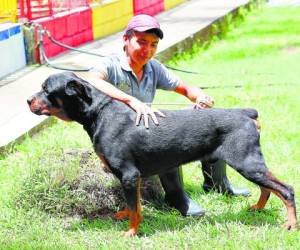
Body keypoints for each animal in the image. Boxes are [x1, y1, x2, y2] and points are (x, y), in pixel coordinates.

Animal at [27, 73, 296, 236]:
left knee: (286, 190)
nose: (28, 100)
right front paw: (126, 217)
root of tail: (246, 113)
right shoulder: (131, 177)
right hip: (250, 162)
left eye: (46, 89)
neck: (98, 113)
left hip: (246, 162)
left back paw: (291, 224)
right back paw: (258, 208)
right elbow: (133, 204)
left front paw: (131, 232)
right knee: (267, 188)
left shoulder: (128, 174)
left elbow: (135, 208)